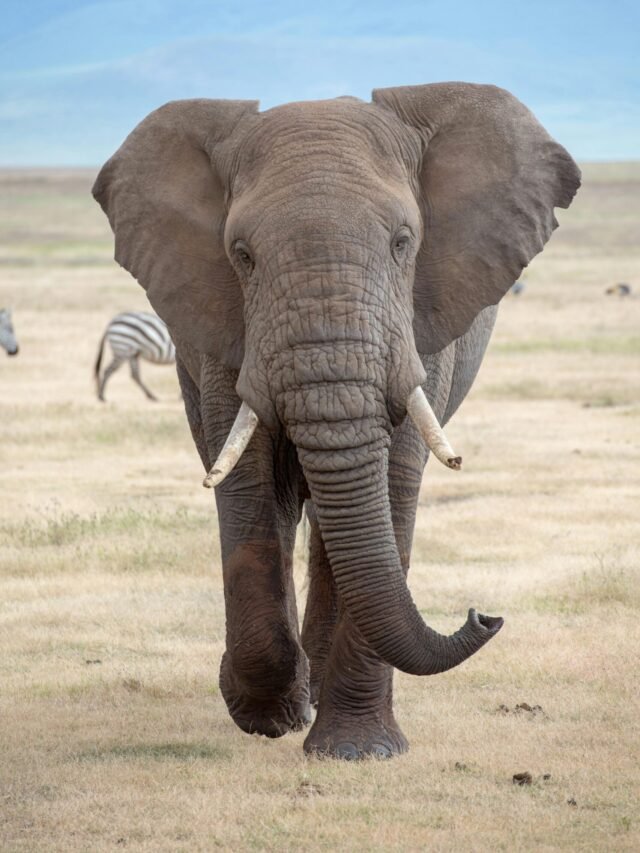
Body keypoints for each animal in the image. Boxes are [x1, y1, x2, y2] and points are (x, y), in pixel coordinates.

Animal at [93, 83, 580, 759]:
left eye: (404, 242)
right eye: (241, 255)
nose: (484, 615)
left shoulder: (420, 323)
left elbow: (393, 480)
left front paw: (357, 752)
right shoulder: (224, 328)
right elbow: (247, 484)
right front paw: (270, 714)